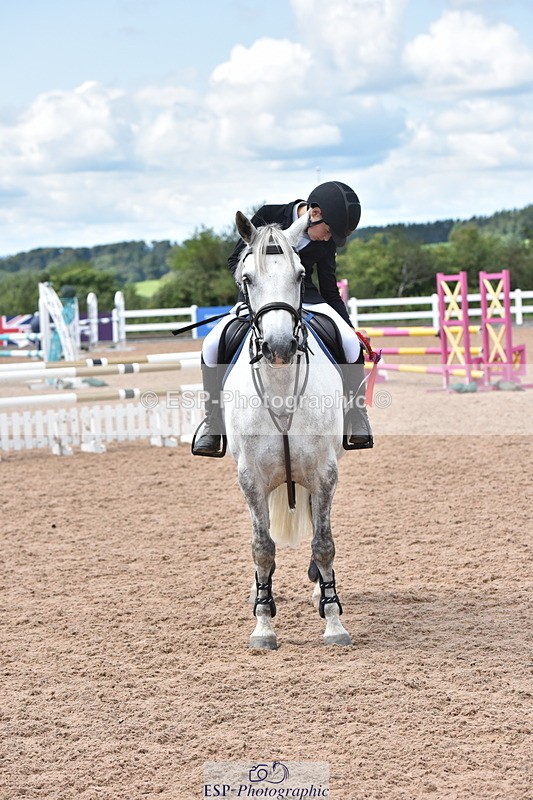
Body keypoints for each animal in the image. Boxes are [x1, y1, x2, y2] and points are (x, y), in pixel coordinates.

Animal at [222, 210, 353, 650]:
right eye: (247, 278)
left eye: (300, 275)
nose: (279, 347)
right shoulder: (250, 477)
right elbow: (262, 547)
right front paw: (263, 625)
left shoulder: (324, 471)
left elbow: (324, 542)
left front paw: (333, 620)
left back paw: (319, 591)